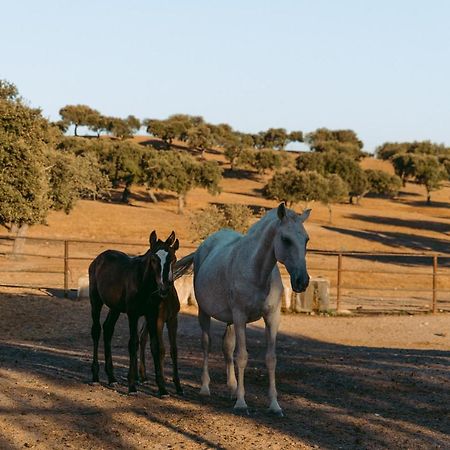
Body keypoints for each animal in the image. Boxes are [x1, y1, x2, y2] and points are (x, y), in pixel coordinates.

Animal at [89, 230, 181, 396]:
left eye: (174, 259)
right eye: (153, 259)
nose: (165, 286)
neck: (145, 284)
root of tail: (98, 259)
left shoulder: (152, 316)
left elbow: (156, 346)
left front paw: (162, 389)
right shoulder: (133, 315)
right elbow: (133, 343)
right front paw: (132, 386)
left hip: (115, 308)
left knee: (108, 329)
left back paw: (112, 378)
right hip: (96, 301)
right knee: (96, 331)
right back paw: (95, 376)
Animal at [177, 203, 310, 414]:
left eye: (306, 239)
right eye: (286, 239)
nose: (302, 281)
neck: (257, 272)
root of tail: (203, 247)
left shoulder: (272, 317)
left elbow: (270, 359)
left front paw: (274, 405)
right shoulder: (240, 317)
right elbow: (242, 357)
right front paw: (241, 402)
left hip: (230, 320)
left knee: (227, 347)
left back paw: (232, 388)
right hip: (205, 313)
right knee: (206, 344)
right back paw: (205, 387)